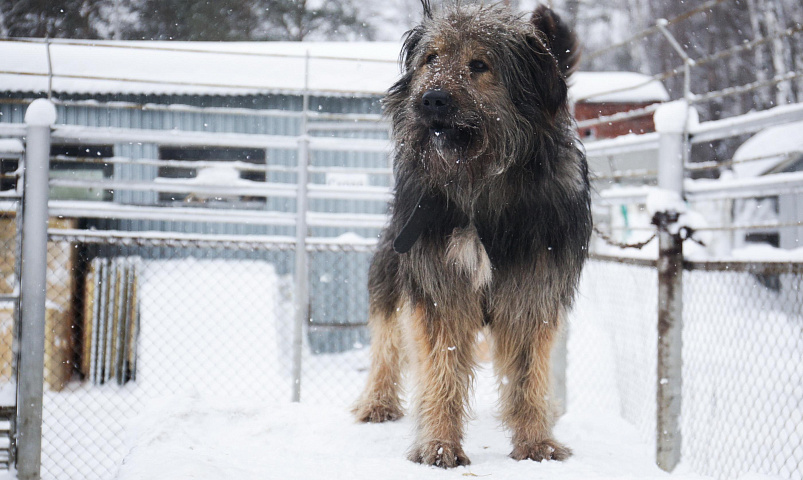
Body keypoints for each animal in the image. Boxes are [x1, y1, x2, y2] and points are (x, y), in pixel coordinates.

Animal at [352, 0, 592, 468]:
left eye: (479, 65)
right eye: (431, 59)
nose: (431, 99)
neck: (478, 183)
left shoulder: (532, 287)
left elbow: (527, 372)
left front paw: (536, 442)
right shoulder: (439, 283)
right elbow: (440, 368)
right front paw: (439, 444)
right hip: (393, 267)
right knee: (386, 342)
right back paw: (377, 402)